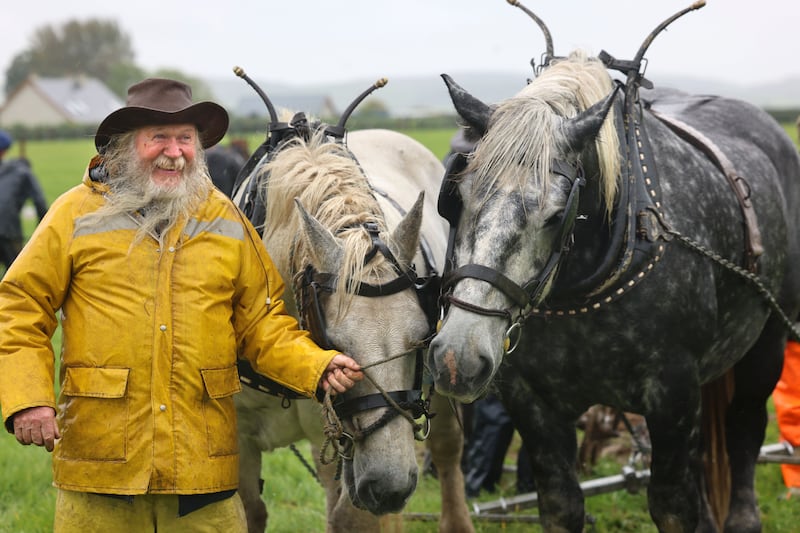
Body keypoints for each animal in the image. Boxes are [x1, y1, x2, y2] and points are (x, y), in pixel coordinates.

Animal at [228, 110, 472, 528]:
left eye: (420, 336)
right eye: (336, 345)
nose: (391, 486)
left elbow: (349, 518)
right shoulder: (239, 437)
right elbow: (248, 512)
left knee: (445, 449)